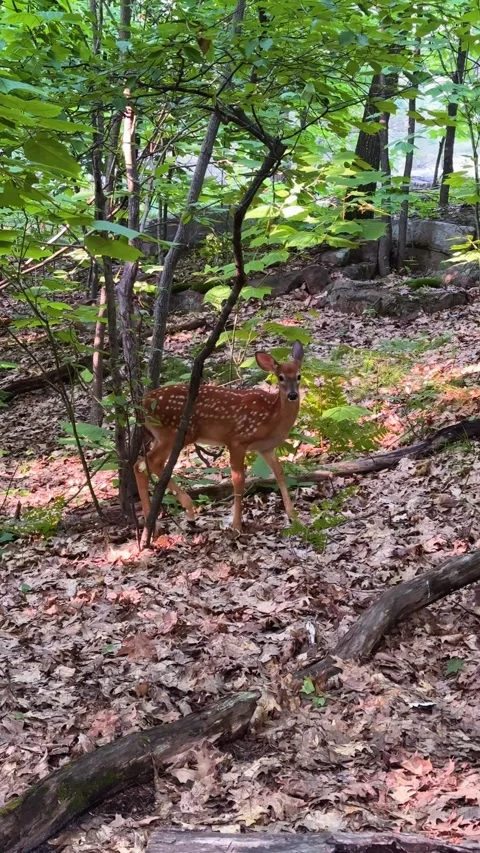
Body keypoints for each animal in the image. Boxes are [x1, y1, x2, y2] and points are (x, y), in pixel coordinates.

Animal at [134, 340, 304, 531]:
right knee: (152, 462)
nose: (292, 395)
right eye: (280, 377)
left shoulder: (265, 448)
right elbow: (238, 480)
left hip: (162, 435)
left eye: (298, 376)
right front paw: (237, 525)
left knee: (140, 465)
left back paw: (152, 524)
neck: (272, 417)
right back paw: (188, 510)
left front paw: (294, 517)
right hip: (176, 432)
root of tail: (143, 402)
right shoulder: (237, 439)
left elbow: (279, 474)